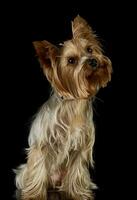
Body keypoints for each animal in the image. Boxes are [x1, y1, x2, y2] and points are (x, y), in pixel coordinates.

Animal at [14, 14, 112, 199]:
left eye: (89, 49)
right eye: (71, 61)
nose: (93, 61)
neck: (74, 103)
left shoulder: (81, 146)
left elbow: (77, 169)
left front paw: (78, 193)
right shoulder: (42, 145)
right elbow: (38, 168)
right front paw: (34, 195)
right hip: (23, 171)